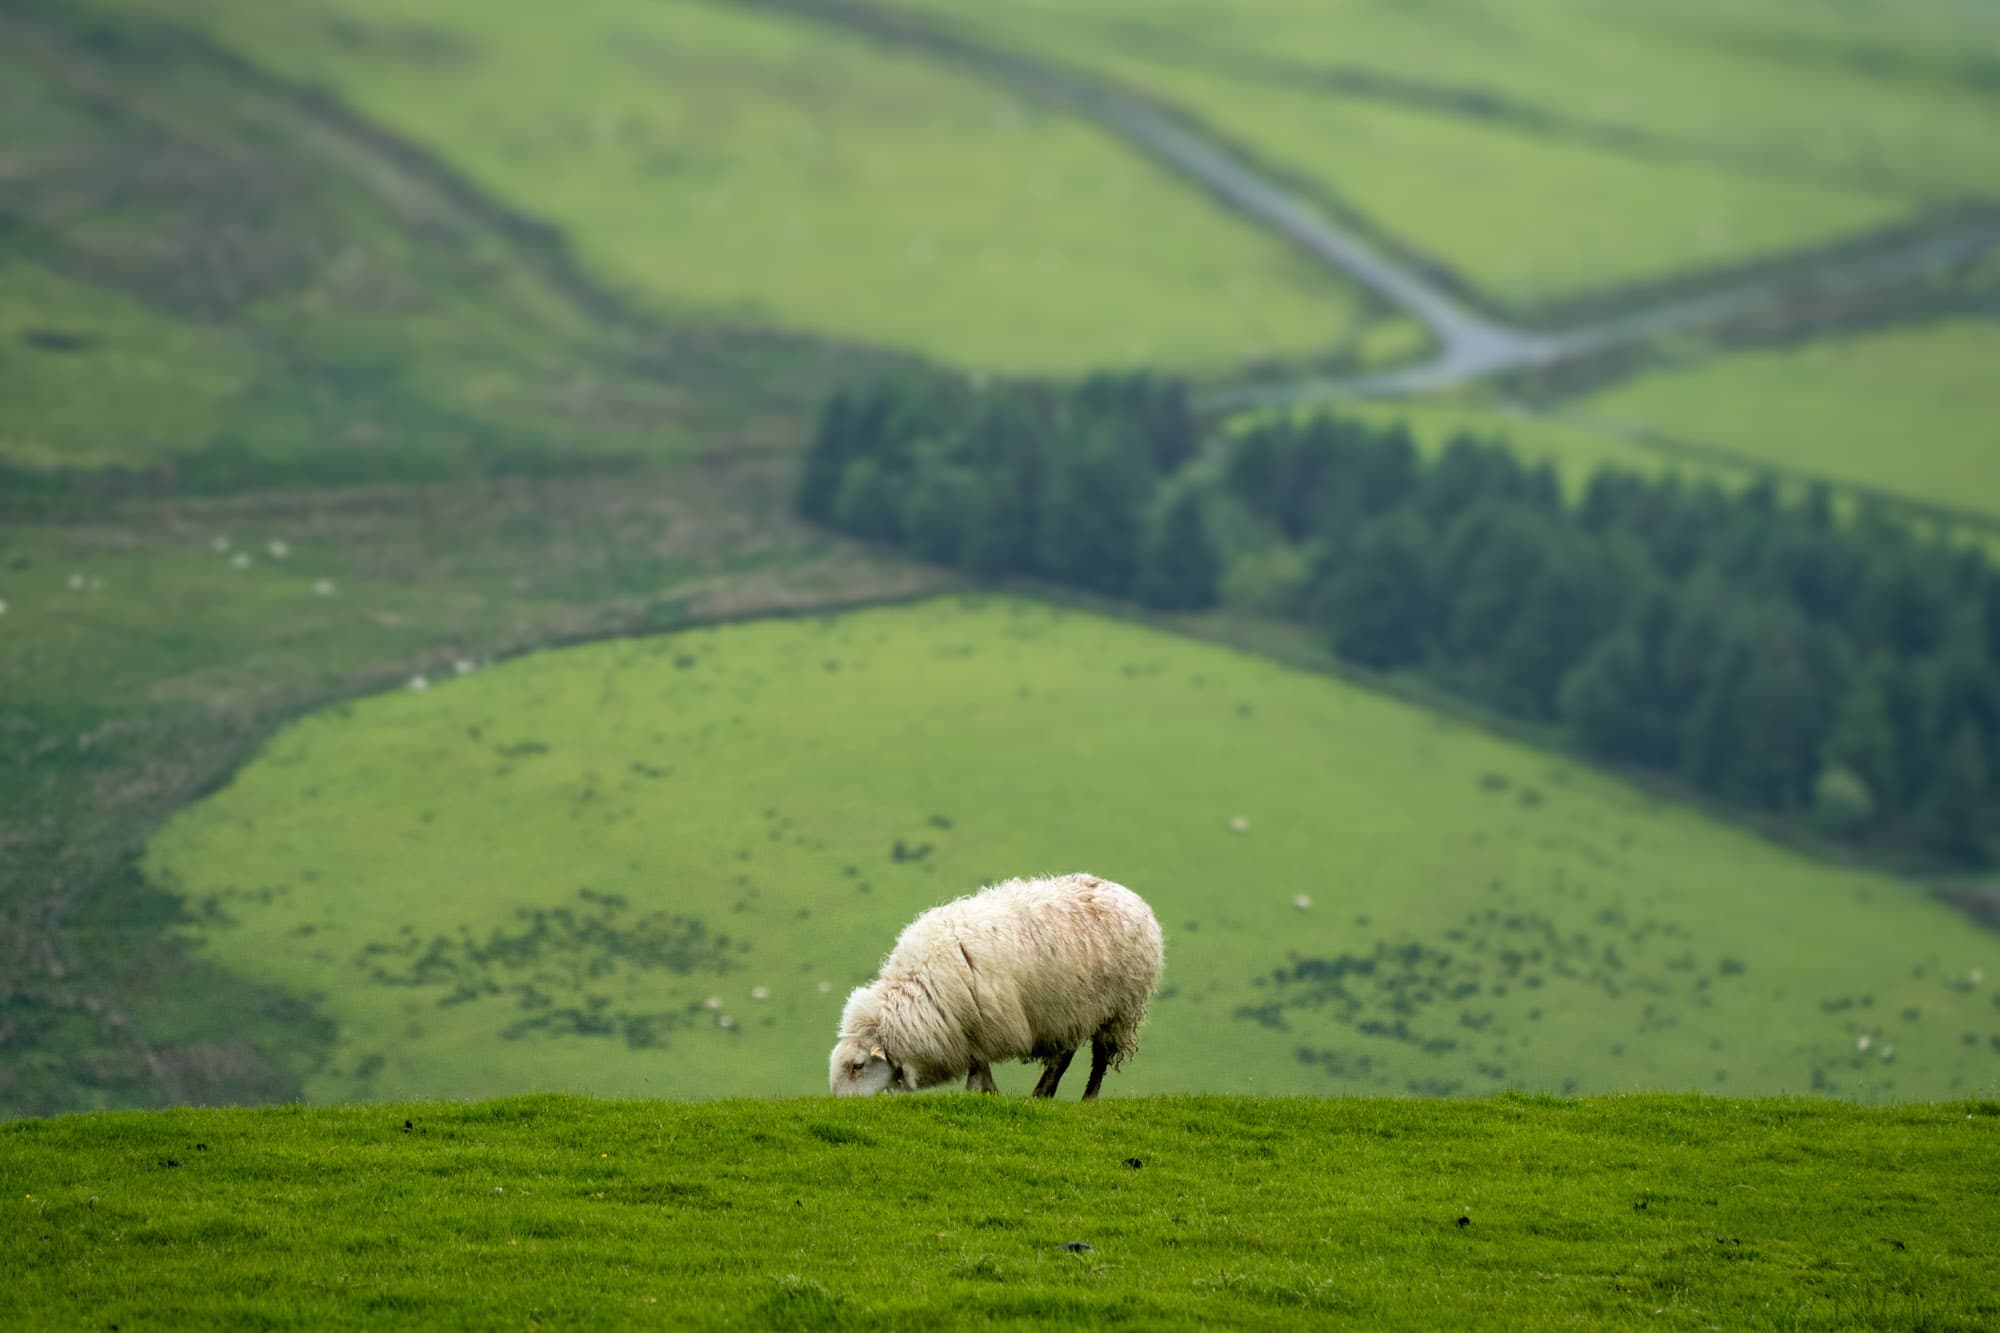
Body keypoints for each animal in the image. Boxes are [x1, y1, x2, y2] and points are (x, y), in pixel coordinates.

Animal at [829, 873, 1163, 1099]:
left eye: (857, 1065)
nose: (842, 1104)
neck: (918, 991)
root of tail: (1130, 896)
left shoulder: (985, 1026)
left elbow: (978, 1072)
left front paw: (981, 1095)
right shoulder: (972, 1032)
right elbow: (981, 1068)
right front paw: (990, 1094)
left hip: (1119, 1009)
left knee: (1100, 1057)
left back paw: (1087, 1099)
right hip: (1069, 1010)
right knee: (1063, 1056)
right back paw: (1041, 1094)